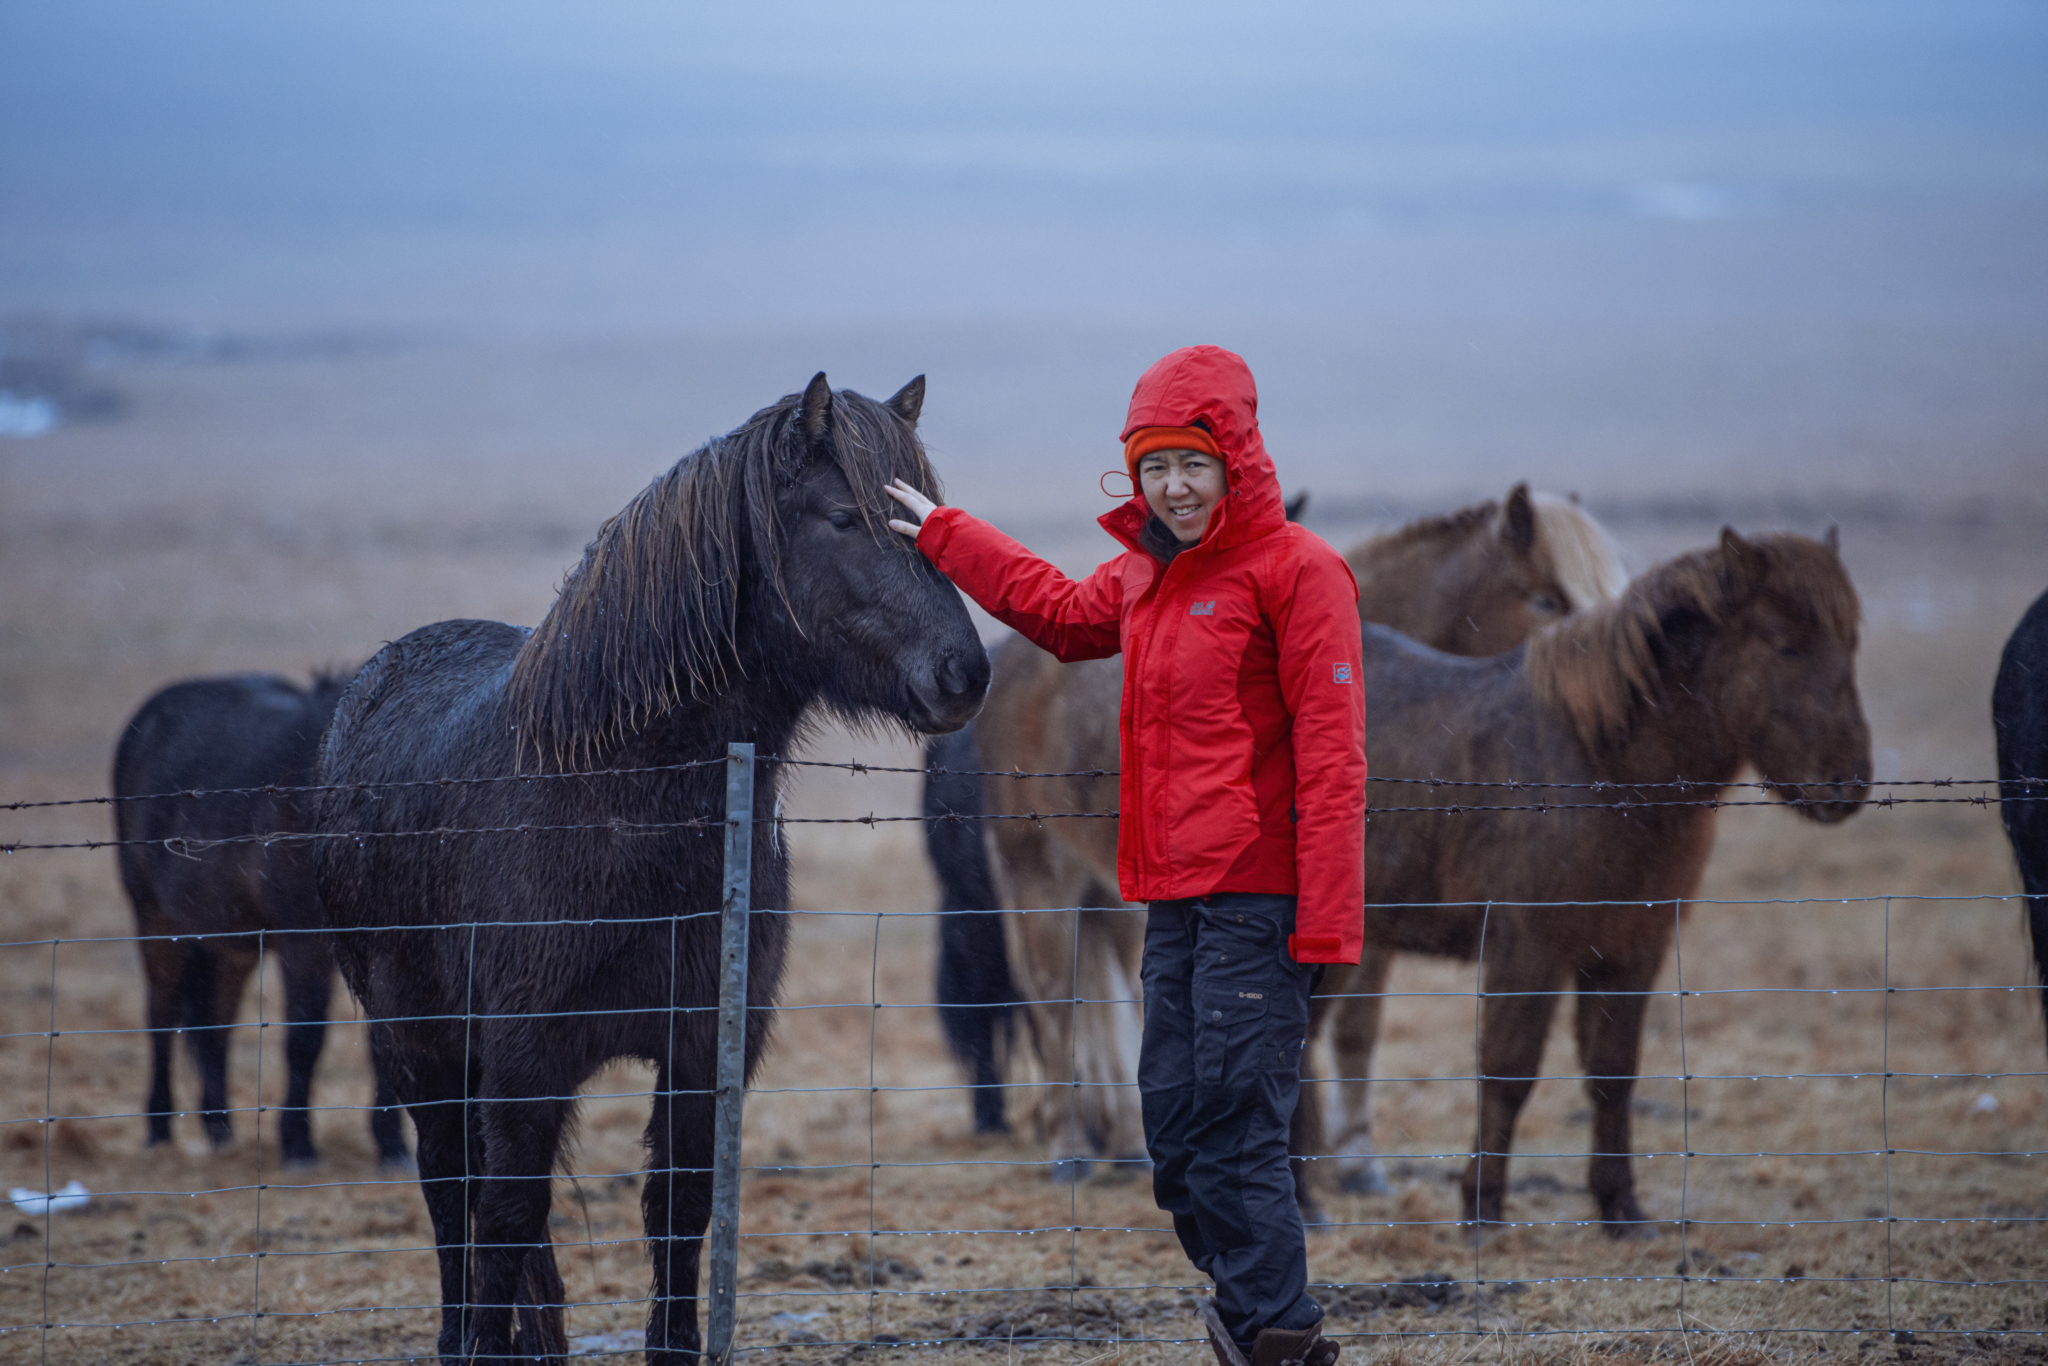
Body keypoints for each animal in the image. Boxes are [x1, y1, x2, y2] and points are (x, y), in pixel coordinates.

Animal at [117, 671, 413, 1163]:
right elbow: (305, 1039)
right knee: (161, 1016)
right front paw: (297, 1142)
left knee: (214, 1023)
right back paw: (159, 1128)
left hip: (229, 942)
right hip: (155, 919)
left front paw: (391, 1144)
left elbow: (384, 1043)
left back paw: (219, 1127)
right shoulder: (303, 942)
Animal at [315, 376, 987, 1366]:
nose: (964, 674)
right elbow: (504, 1213)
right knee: (448, 1193)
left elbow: (679, 1208)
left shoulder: (703, 1042)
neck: (616, 796)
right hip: (418, 1045)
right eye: (842, 517)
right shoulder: (526, 1060)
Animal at [1327, 528, 1875, 1236]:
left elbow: (1614, 1074)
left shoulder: (1629, 950)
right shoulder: (1528, 949)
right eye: (1784, 642)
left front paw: (1620, 1206)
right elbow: (1508, 1071)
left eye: (1850, 641)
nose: (1846, 783)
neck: (1602, 766)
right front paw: (1482, 1206)